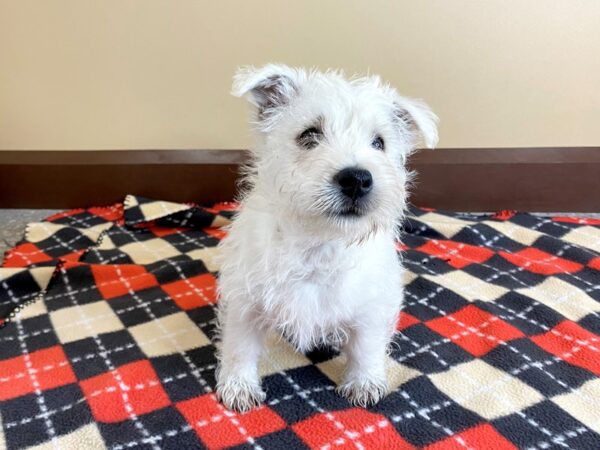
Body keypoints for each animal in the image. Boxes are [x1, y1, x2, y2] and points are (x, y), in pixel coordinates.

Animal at [216, 63, 436, 412]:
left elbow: (366, 346)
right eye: (309, 135)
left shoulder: (371, 305)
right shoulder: (245, 301)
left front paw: (364, 382)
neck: (319, 243)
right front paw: (238, 387)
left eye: (379, 143)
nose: (357, 179)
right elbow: (239, 346)